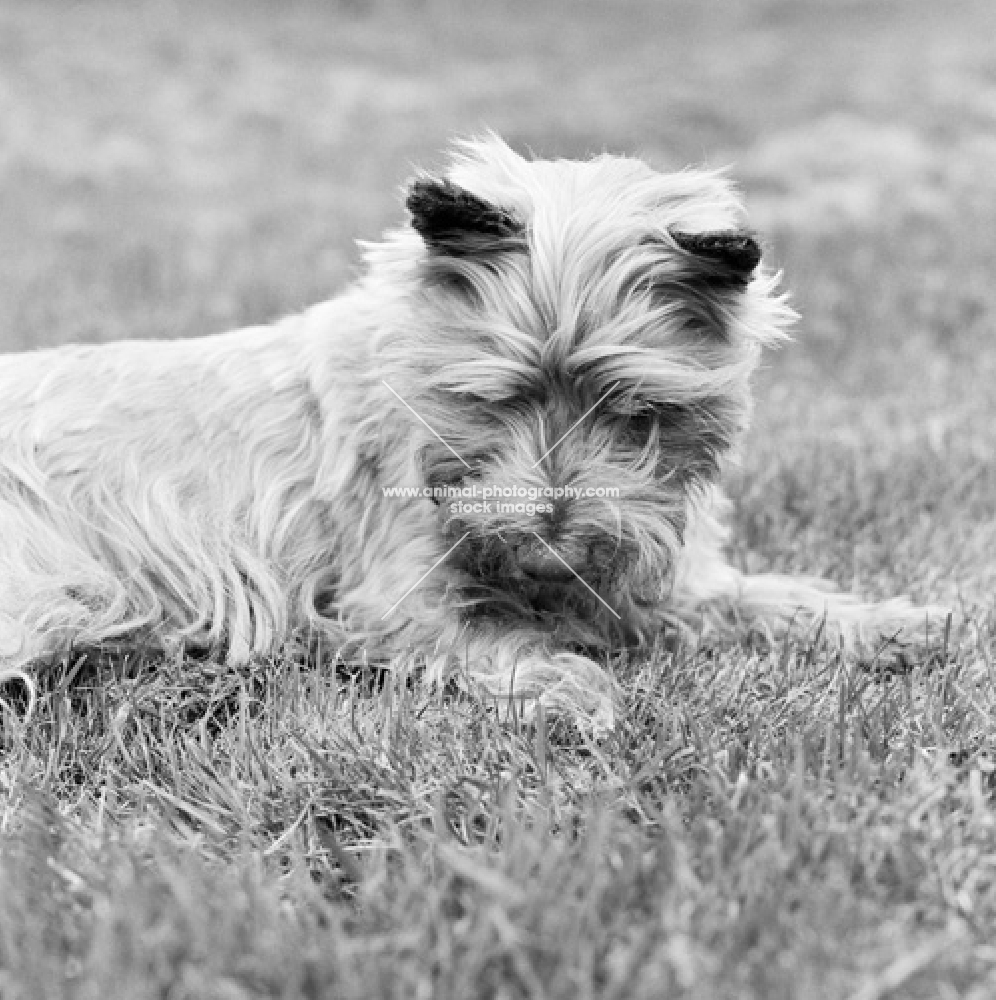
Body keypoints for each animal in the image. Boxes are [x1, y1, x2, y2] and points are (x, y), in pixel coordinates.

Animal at [0, 135, 940, 728]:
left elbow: (766, 597)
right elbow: (489, 636)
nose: (550, 543)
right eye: (495, 398)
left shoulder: (649, 570)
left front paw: (888, 623)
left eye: (632, 409)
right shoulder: (394, 600)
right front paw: (569, 685)